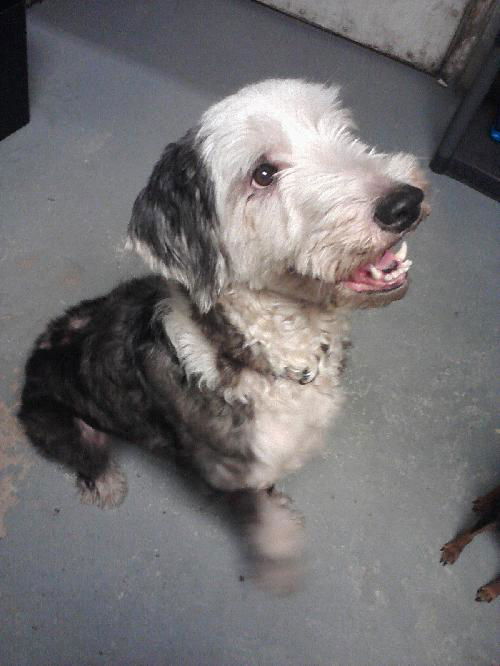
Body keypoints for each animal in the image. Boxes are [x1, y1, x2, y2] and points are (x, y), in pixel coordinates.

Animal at [18, 79, 430, 588]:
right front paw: (278, 542)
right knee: (87, 457)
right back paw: (106, 483)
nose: (404, 203)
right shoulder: (228, 470)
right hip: (60, 424)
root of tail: (32, 364)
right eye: (263, 174)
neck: (275, 355)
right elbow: (255, 509)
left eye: (343, 131)